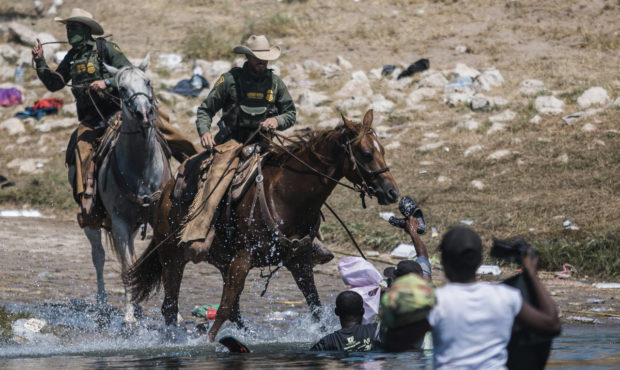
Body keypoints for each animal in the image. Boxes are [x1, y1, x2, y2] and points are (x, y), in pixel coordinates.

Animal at [124, 108, 402, 340]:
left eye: (382, 150)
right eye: (366, 154)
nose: (392, 192)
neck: (286, 196)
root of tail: (164, 194)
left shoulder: (299, 261)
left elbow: (315, 306)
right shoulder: (244, 258)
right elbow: (223, 308)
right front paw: (208, 343)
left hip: (222, 261)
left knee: (233, 310)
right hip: (172, 257)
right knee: (170, 307)